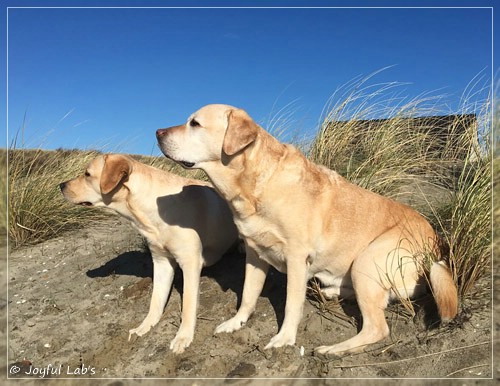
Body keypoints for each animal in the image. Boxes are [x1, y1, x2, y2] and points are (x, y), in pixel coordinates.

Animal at [59, 154, 239, 352]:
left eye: (87, 174)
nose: (61, 185)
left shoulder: (190, 263)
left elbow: (188, 305)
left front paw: (183, 336)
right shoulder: (161, 263)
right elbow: (156, 300)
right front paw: (146, 326)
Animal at [156, 105, 458, 356]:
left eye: (195, 123)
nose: (157, 132)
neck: (255, 186)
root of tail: (435, 247)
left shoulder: (296, 257)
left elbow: (291, 303)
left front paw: (284, 339)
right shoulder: (254, 254)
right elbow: (248, 295)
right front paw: (236, 322)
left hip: (367, 259)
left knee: (377, 328)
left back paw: (333, 349)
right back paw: (332, 292)